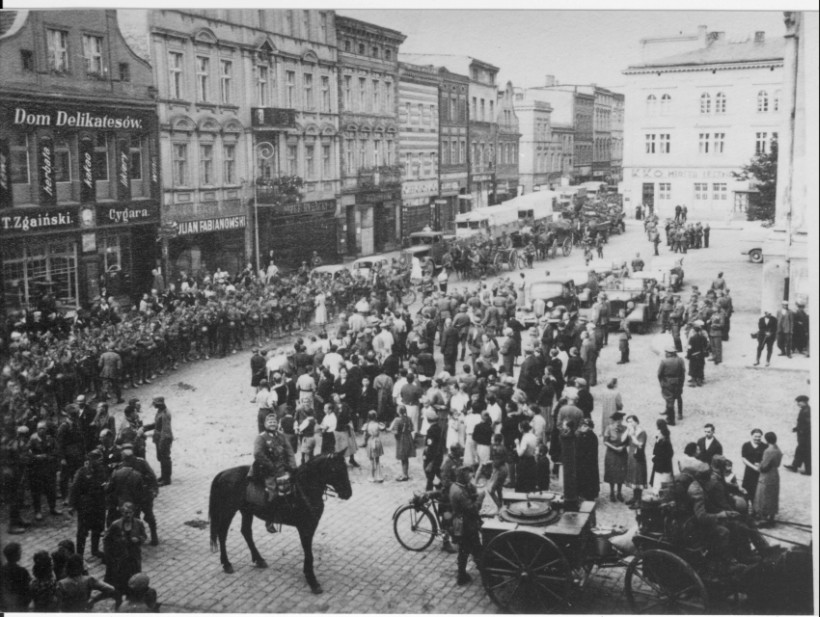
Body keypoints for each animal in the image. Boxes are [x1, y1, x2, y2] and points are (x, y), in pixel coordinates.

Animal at [208, 452, 352, 593]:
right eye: (334, 469)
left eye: (345, 468)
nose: (348, 493)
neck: (303, 489)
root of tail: (224, 473)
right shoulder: (305, 528)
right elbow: (308, 553)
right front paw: (312, 580)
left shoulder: (311, 527)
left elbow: (308, 552)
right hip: (228, 511)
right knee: (222, 534)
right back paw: (227, 564)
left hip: (246, 511)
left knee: (246, 532)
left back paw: (259, 560)